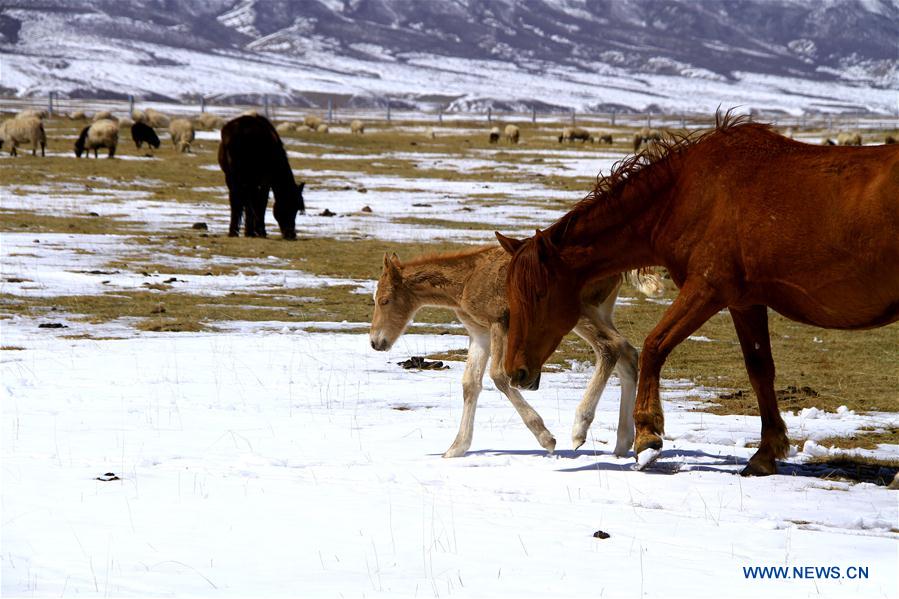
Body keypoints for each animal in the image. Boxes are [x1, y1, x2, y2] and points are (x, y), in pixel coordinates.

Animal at [370, 245, 663, 458]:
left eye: (385, 300)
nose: (375, 342)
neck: (465, 281)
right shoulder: (480, 333)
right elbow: (470, 383)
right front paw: (456, 448)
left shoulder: (500, 322)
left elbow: (499, 376)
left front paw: (546, 437)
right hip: (600, 310)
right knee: (627, 352)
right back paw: (622, 443)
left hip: (578, 311)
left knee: (610, 348)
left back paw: (580, 428)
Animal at [496, 110, 899, 476]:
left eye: (538, 294)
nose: (515, 372)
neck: (690, 196)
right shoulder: (745, 302)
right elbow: (760, 370)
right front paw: (765, 455)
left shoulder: (707, 289)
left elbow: (655, 345)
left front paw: (647, 438)